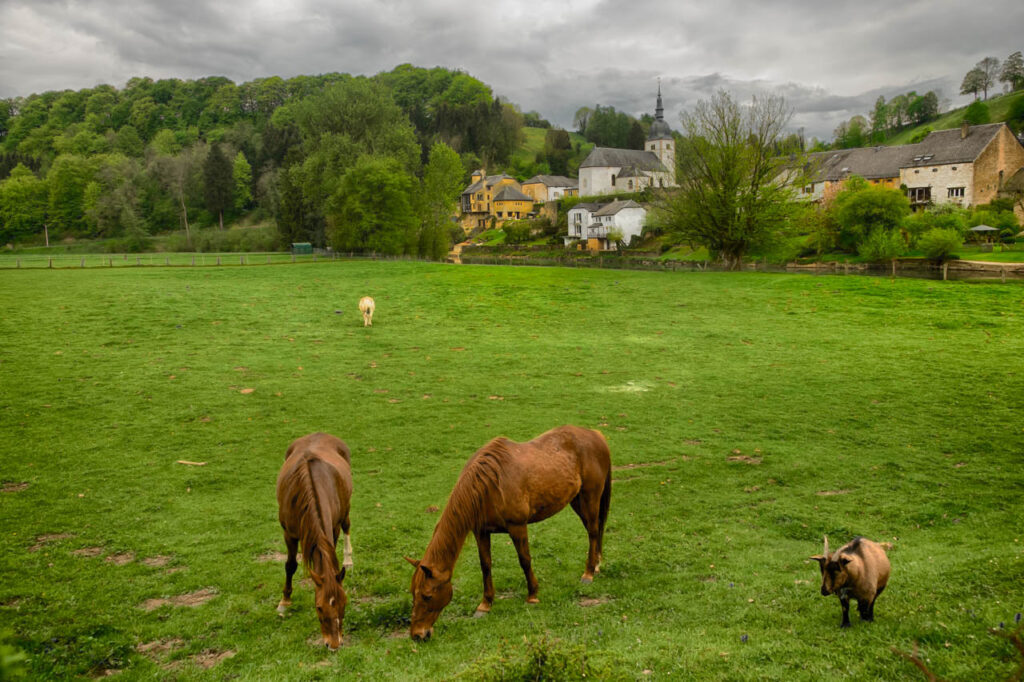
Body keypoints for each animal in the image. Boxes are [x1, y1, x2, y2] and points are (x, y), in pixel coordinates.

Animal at [274, 430, 354, 647]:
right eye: (318, 607)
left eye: (344, 603)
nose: (334, 644)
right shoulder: (289, 534)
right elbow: (290, 565)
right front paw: (285, 602)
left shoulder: (333, 528)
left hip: (346, 509)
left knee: (347, 525)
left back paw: (349, 558)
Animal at [403, 421, 610, 638]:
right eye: (413, 593)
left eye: (427, 596)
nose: (417, 635)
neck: (488, 485)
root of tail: (596, 435)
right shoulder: (481, 532)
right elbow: (485, 565)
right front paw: (485, 605)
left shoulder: (517, 526)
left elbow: (525, 560)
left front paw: (532, 595)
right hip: (577, 500)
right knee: (594, 531)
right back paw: (596, 565)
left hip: (590, 497)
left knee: (593, 531)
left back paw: (588, 573)